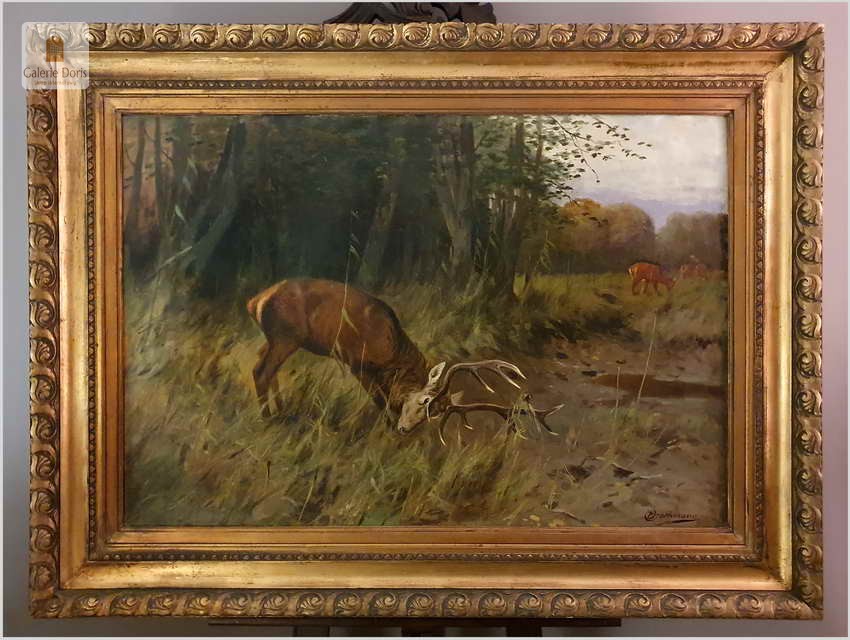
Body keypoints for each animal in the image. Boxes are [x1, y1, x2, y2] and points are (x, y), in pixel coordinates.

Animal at [246, 278, 563, 443]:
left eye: (435, 412)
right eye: (425, 402)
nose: (405, 429)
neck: (390, 351)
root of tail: (255, 301)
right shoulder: (358, 362)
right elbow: (380, 399)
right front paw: (386, 428)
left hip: (276, 338)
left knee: (263, 364)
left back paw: (282, 409)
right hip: (286, 335)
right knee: (261, 370)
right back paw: (268, 417)